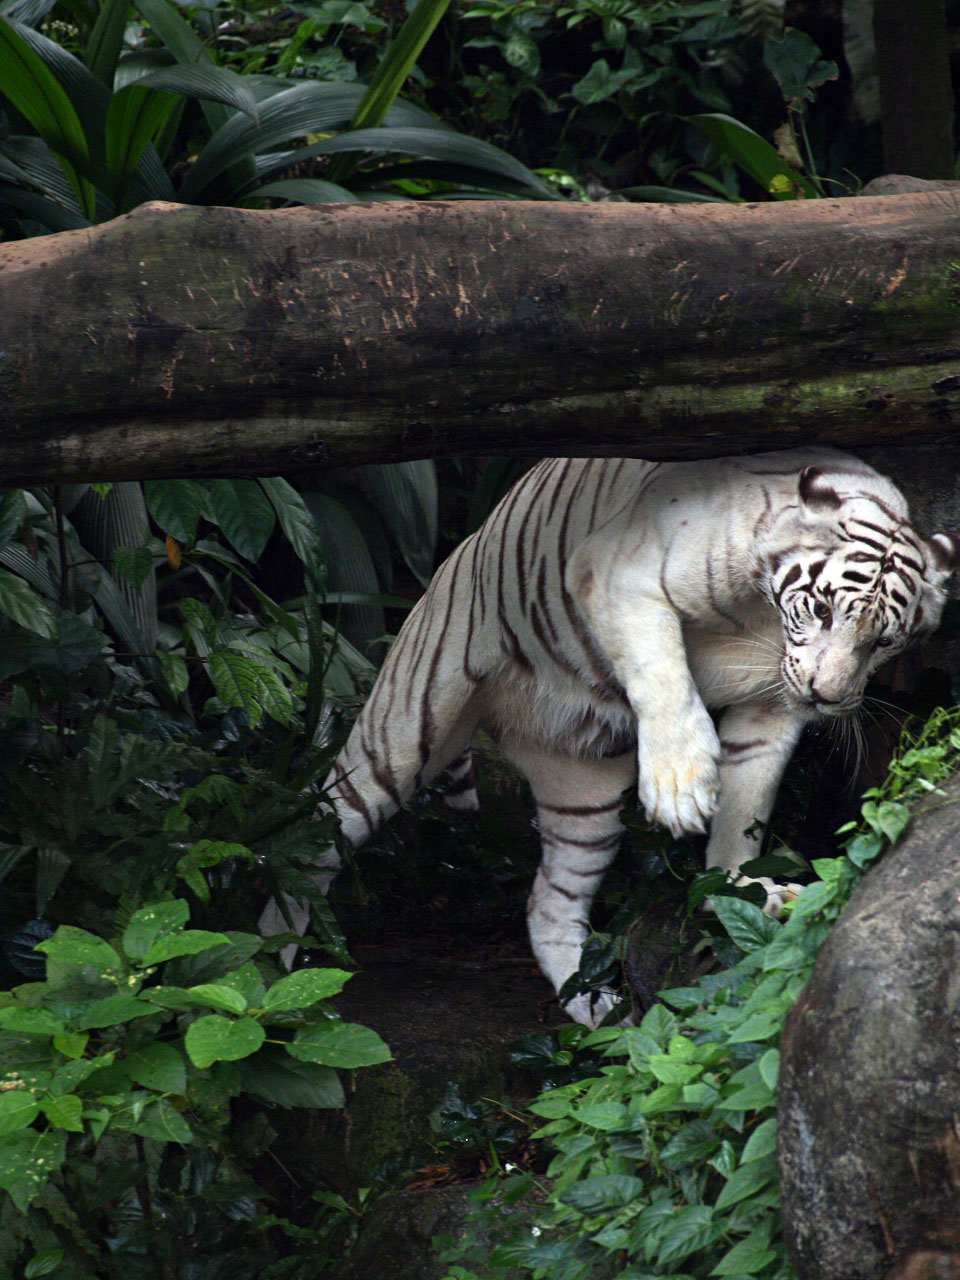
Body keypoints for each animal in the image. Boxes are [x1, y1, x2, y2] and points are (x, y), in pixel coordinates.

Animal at [261, 449, 958, 1026]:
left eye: (884, 640)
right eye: (820, 608)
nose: (826, 696)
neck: (762, 615)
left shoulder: (770, 707)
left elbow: (748, 805)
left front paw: (741, 889)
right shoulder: (619, 573)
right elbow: (663, 669)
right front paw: (680, 787)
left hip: (584, 796)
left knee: (548, 902)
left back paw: (596, 1004)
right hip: (405, 726)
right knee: (313, 840)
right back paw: (269, 970)